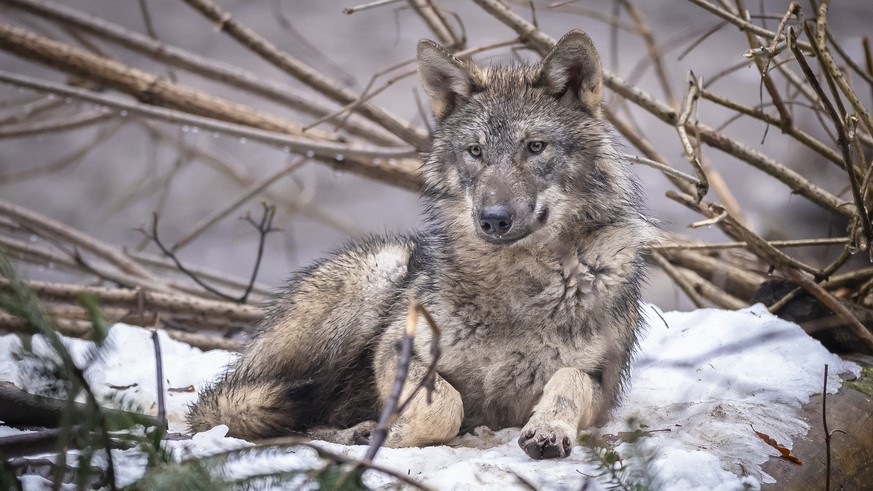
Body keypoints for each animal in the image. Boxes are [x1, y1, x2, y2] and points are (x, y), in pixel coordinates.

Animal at [187, 29, 652, 462]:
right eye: (475, 151)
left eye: (535, 147)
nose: (493, 218)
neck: (516, 285)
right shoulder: (396, 349)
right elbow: (445, 406)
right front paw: (393, 433)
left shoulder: (601, 383)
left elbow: (568, 380)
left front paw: (549, 429)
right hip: (377, 275)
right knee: (250, 411)